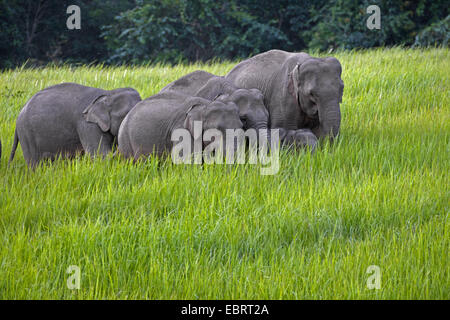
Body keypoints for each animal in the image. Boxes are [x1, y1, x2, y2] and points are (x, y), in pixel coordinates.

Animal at [9, 82, 142, 168]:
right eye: (126, 114)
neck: (108, 93)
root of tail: (19, 114)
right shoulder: (87, 125)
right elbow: (99, 155)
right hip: (26, 135)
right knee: (34, 164)